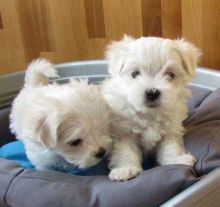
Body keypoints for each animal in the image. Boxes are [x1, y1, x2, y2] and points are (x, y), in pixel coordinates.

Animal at [102, 36, 202, 181]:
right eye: (135, 74)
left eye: (170, 75)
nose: (152, 93)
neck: (150, 113)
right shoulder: (123, 132)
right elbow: (126, 150)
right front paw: (126, 169)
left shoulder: (170, 129)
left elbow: (170, 147)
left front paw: (176, 160)